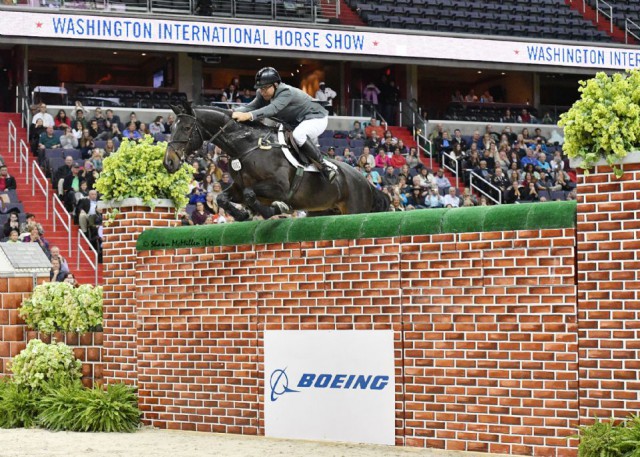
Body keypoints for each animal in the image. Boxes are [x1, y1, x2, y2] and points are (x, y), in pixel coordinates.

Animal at [162, 101, 388, 219]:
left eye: (187, 128)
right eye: (171, 127)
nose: (168, 163)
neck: (247, 146)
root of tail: (367, 183)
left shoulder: (280, 188)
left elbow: (250, 194)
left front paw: (275, 209)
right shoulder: (237, 188)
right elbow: (222, 198)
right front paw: (243, 215)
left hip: (355, 208)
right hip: (323, 211)